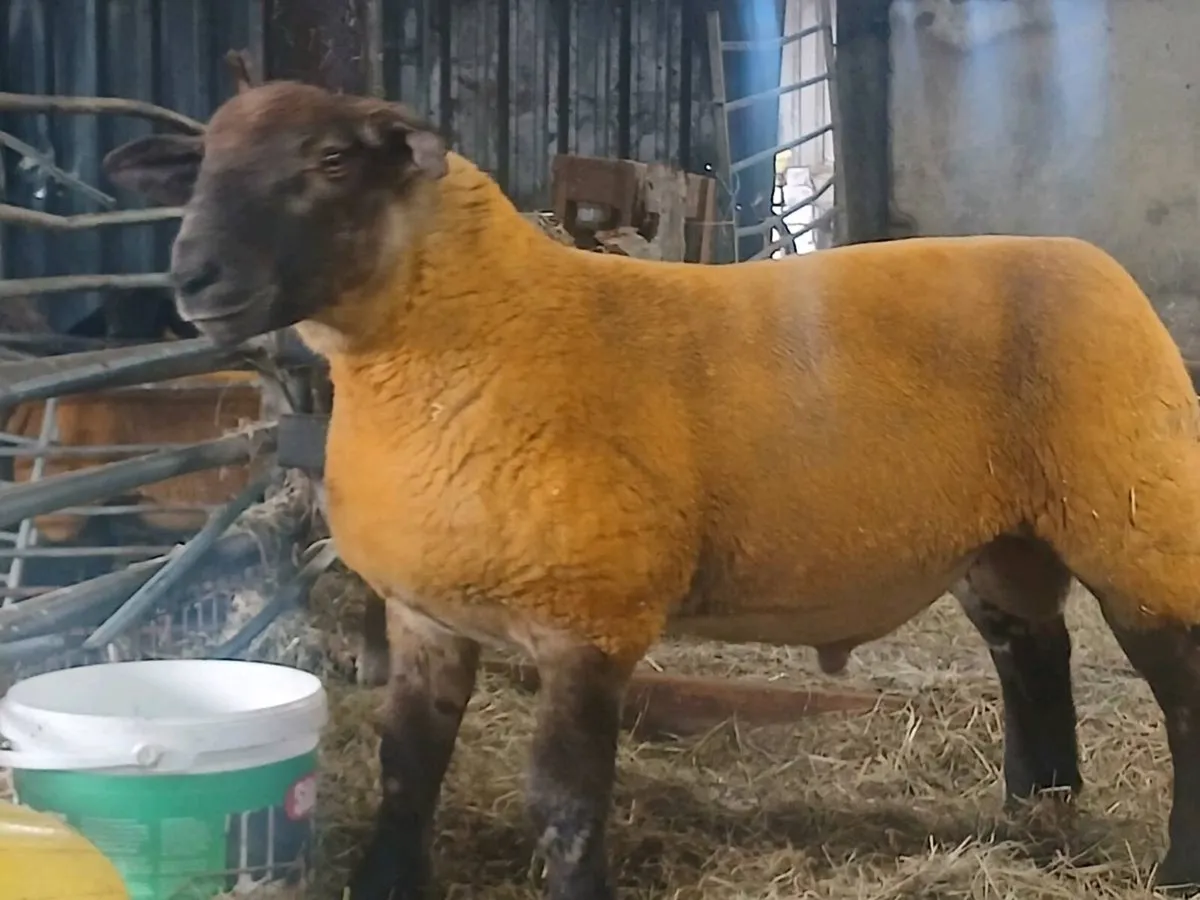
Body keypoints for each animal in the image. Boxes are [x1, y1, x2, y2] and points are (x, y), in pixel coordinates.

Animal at [102, 80, 1200, 900]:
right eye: (202, 164)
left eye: (331, 161)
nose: (194, 278)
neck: (476, 331)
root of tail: (1090, 260)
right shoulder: (426, 617)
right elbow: (405, 772)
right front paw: (383, 885)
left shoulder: (587, 617)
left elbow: (566, 801)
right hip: (1010, 536)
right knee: (1034, 655)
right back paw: (1038, 826)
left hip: (1139, 512)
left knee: (1180, 691)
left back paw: (1172, 868)